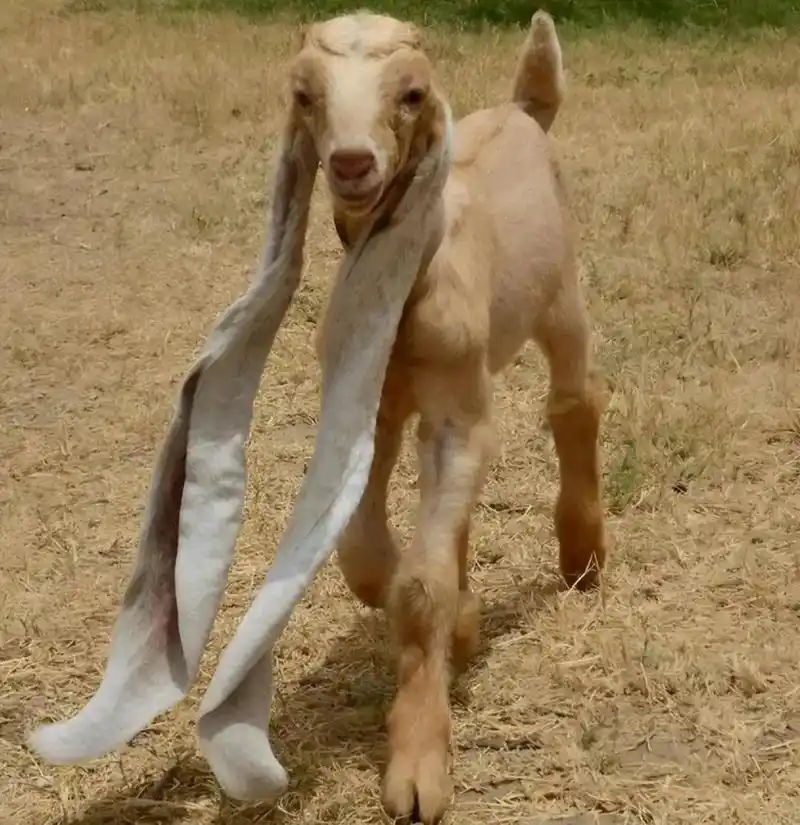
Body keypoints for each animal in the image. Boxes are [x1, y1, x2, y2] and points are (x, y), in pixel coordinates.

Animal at [29, 10, 607, 825]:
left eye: (412, 93)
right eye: (304, 94)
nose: (354, 162)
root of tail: (525, 108)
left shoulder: (461, 413)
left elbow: (418, 584)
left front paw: (418, 771)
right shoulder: (372, 401)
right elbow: (366, 556)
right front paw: (460, 623)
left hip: (560, 295)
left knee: (573, 398)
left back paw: (583, 557)